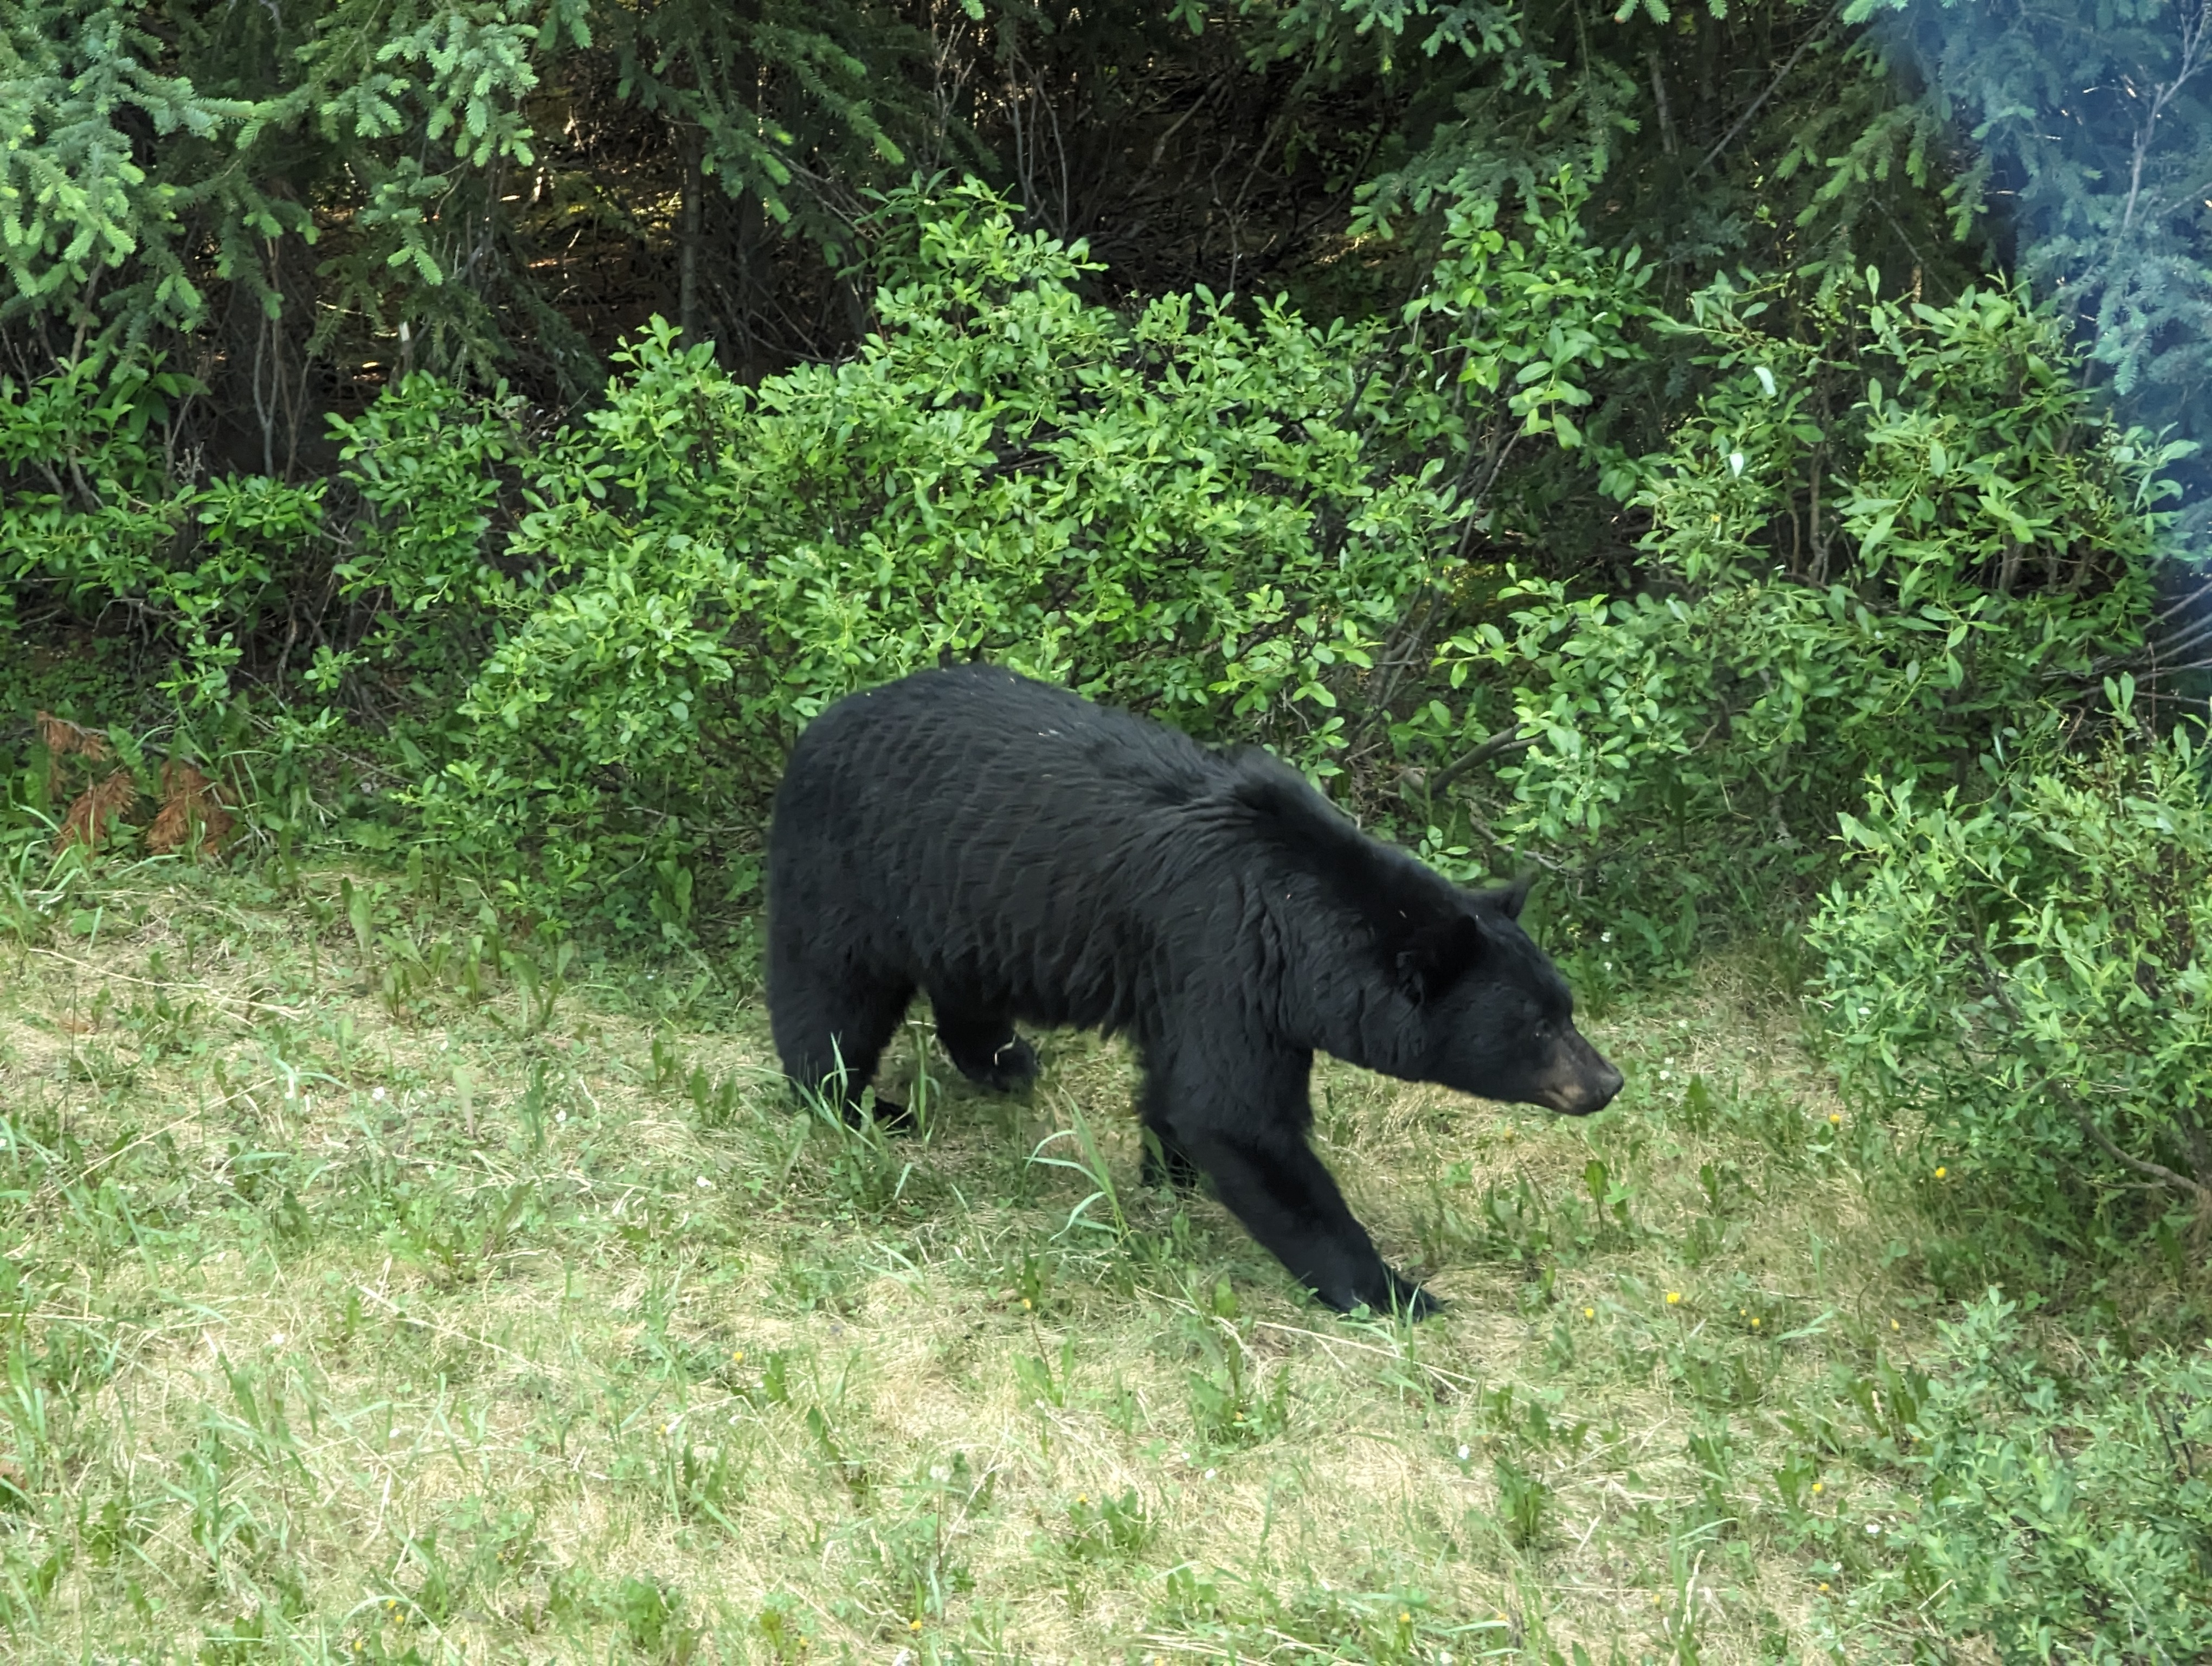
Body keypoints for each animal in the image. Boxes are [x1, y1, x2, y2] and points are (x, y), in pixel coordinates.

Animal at [765, 664, 1623, 1319]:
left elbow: (1181, 1085)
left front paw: (1167, 1172)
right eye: (1538, 1026)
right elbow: (1236, 1118)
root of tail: (818, 723)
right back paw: (858, 1104)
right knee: (831, 992)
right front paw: (1392, 1291)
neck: (1299, 917)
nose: (1608, 1082)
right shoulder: (1225, 959)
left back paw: (1004, 1061)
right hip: (850, 872)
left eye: (1566, 1007)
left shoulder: (1215, 987)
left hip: (965, 898)